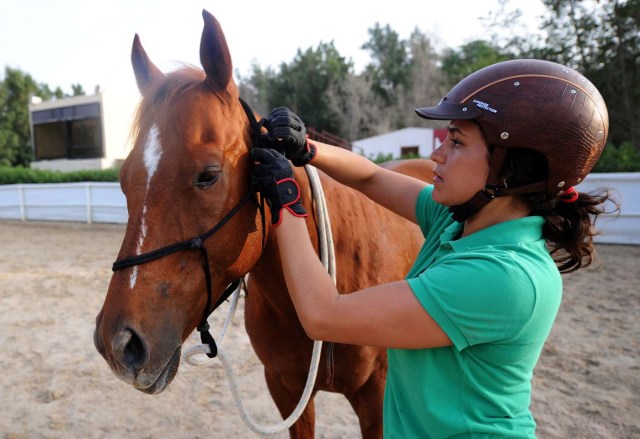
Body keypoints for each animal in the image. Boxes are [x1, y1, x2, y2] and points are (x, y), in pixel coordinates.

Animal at [94, 10, 436, 439]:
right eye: (124, 180)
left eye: (208, 175)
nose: (119, 343)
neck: (328, 289)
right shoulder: (286, 391)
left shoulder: (376, 398)